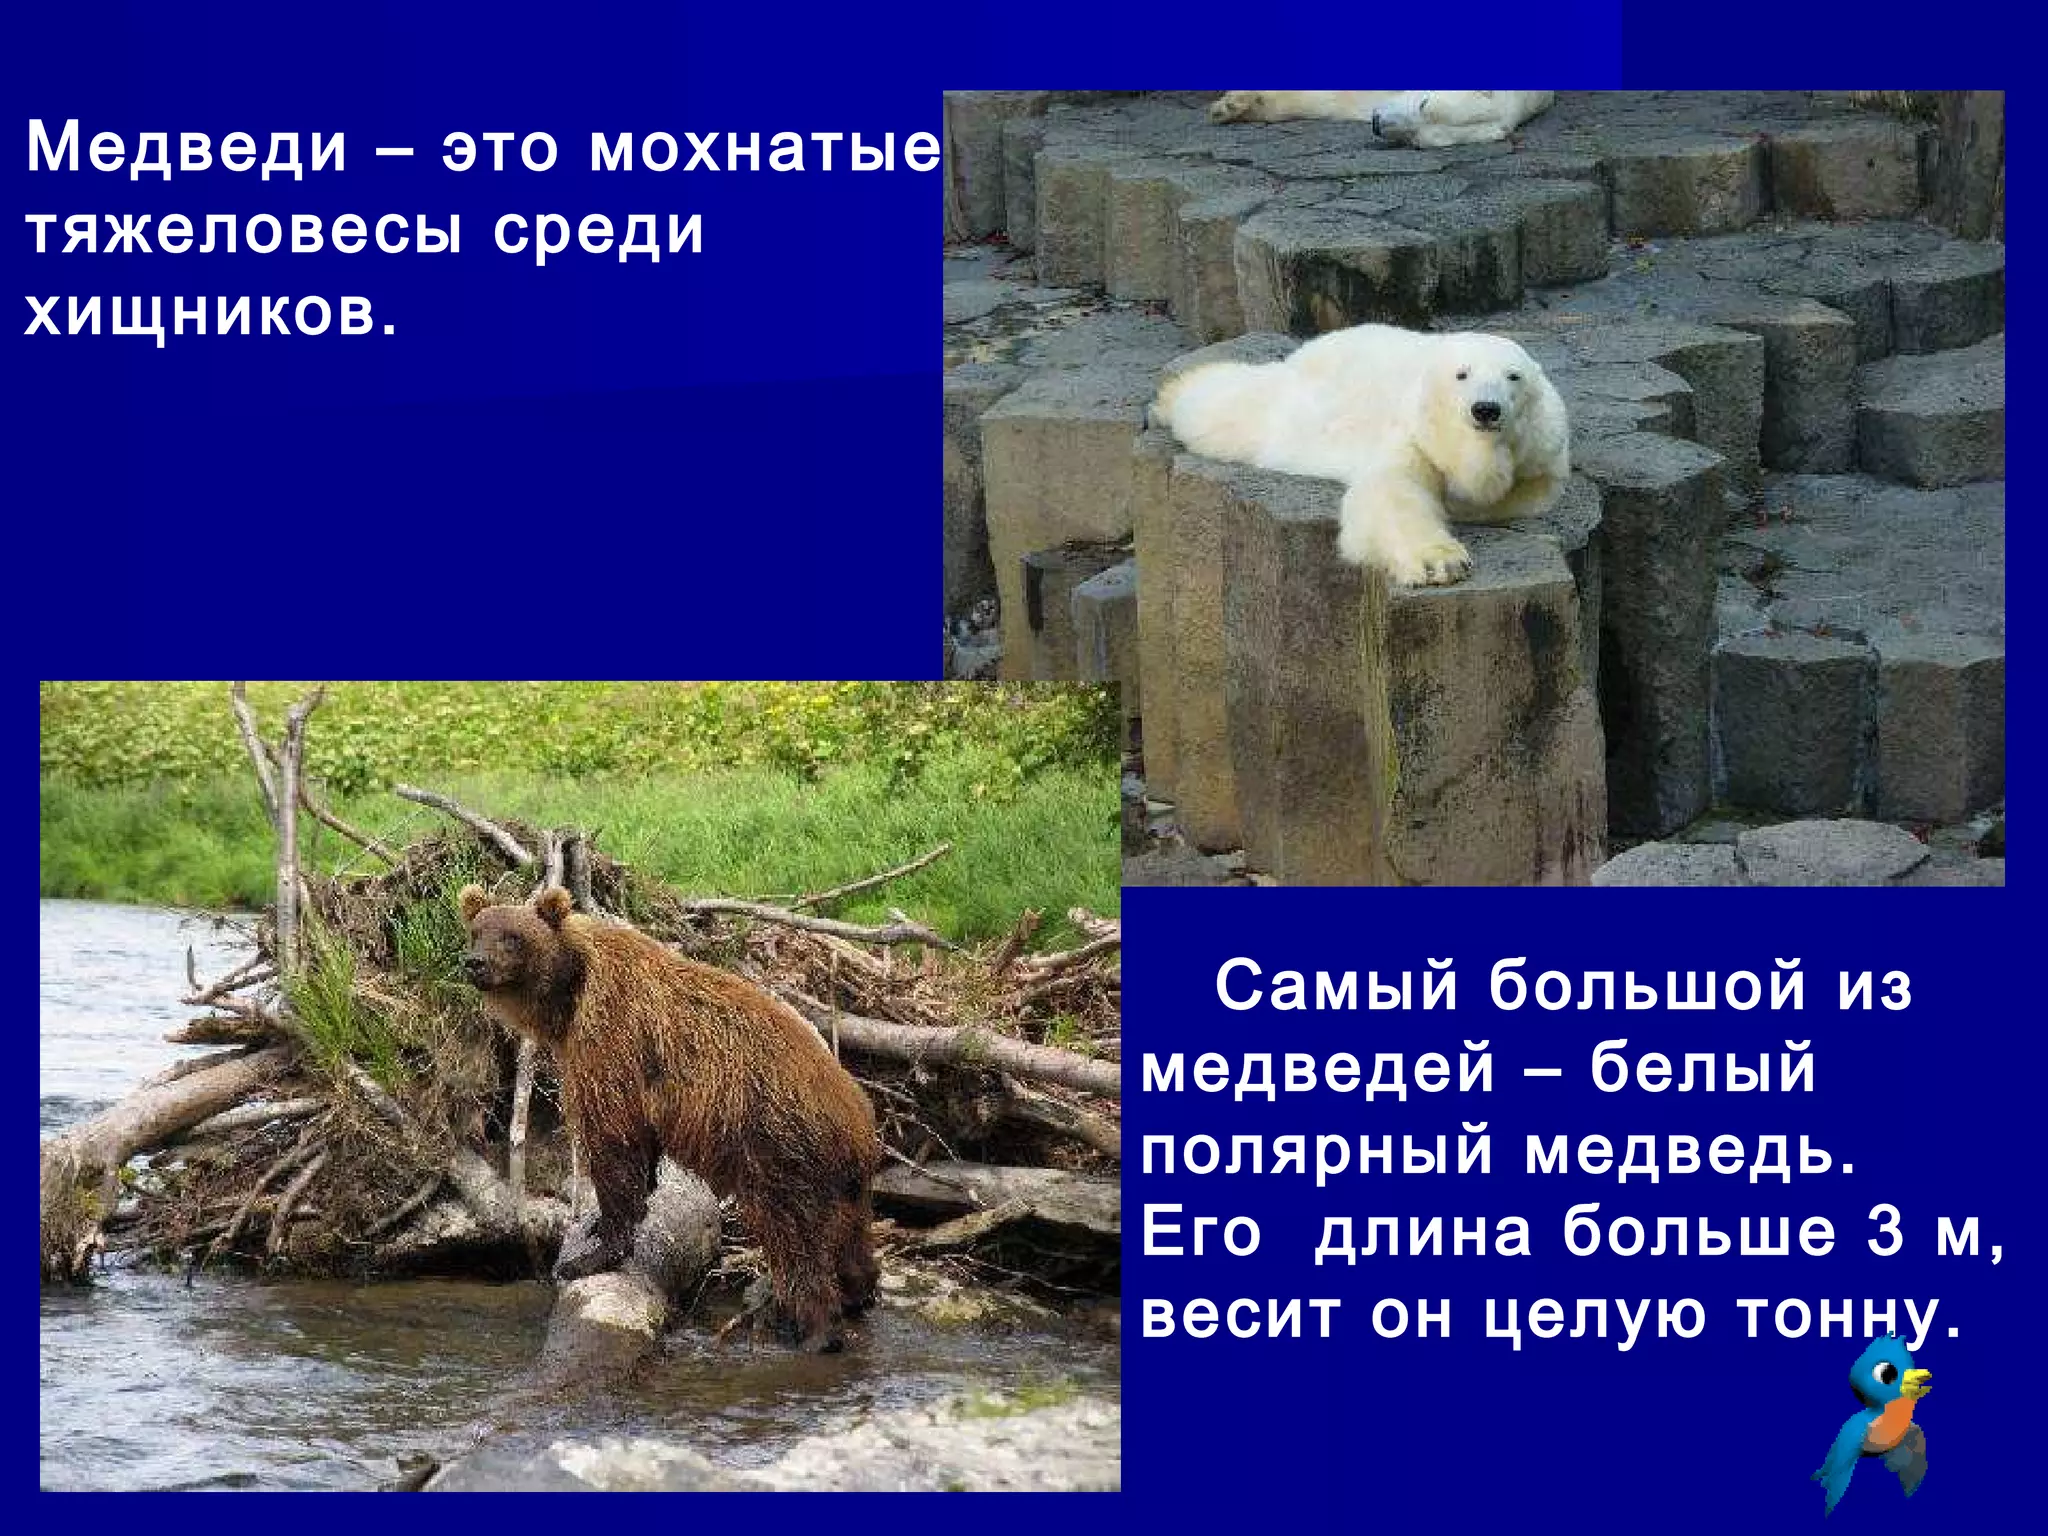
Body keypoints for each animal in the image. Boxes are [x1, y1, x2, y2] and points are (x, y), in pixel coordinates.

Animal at [458, 884, 881, 1351]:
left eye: (512, 936)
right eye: (477, 931)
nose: (475, 962)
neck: (568, 997)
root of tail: (860, 1122)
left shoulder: (612, 1040)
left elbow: (612, 1142)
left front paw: (589, 1256)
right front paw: (610, 1221)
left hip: (780, 1150)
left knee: (797, 1241)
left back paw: (816, 1332)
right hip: (840, 1182)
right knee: (849, 1240)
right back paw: (857, 1292)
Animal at [1153, 322, 1570, 587]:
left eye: (1513, 376)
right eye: (1461, 374)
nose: (1485, 409)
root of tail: (1314, 344)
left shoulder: (1542, 453)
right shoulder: (1415, 433)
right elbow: (1392, 491)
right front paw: (1441, 563)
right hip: (1297, 407)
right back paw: (1173, 393)